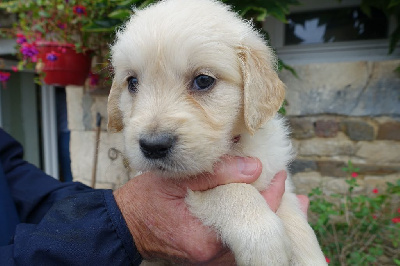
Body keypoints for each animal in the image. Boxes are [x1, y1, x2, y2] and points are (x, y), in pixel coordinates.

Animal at [108, 0, 326, 264]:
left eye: (203, 80)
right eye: (132, 83)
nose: (153, 146)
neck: (234, 147)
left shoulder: (277, 177)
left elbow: (295, 218)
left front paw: (308, 254)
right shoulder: (192, 189)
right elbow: (229, 189)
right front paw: (264, 240)